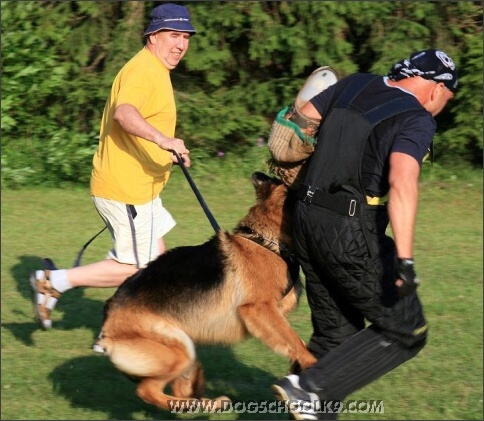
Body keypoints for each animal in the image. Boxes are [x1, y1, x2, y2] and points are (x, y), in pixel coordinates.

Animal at [98, 171, 318, 410]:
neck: (266, 242)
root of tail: (107, 326)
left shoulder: (273, 312)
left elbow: (294, 341)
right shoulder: (259, 309)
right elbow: (294, 341)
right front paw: (312, 364)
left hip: (185, 348)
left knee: (177, 387)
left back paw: (208, 402)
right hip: (178, 350)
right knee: (148, 391)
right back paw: (190, 406)